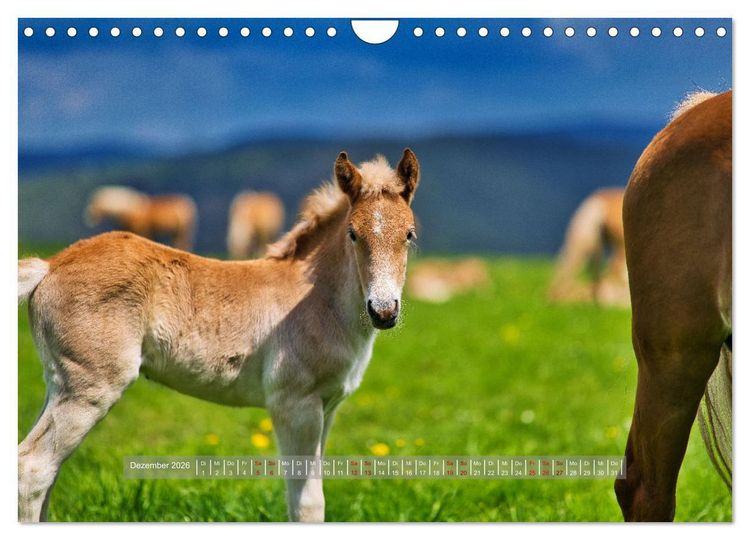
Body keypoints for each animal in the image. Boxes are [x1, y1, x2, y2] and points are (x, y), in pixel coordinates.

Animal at [18, 149, 421, 522]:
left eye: (409, 235)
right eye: (353, 234)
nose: (383, 311)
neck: (317, 298)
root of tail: (49, 265)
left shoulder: (328, 407)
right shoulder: (296, 404)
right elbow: (307, 503)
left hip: (60, 383)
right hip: (91, 388)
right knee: (34, 470)